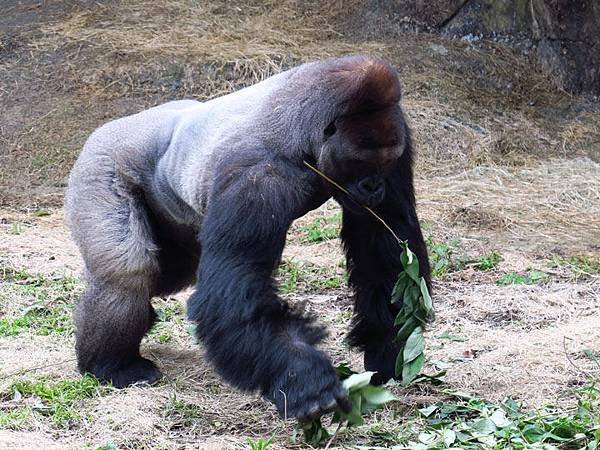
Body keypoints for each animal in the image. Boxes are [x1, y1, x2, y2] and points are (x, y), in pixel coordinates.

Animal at [65, 54, 432, 420]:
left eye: (385, 162)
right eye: (360, 161)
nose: (374, 187)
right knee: (127, 274)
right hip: (100, 166)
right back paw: (112, 364)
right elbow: (235, 290)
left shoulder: (399, 138)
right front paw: (303, 377)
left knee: (166, 273)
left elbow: (387, 249)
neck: (305, 137)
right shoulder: (256, 178)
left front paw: (387, 347)